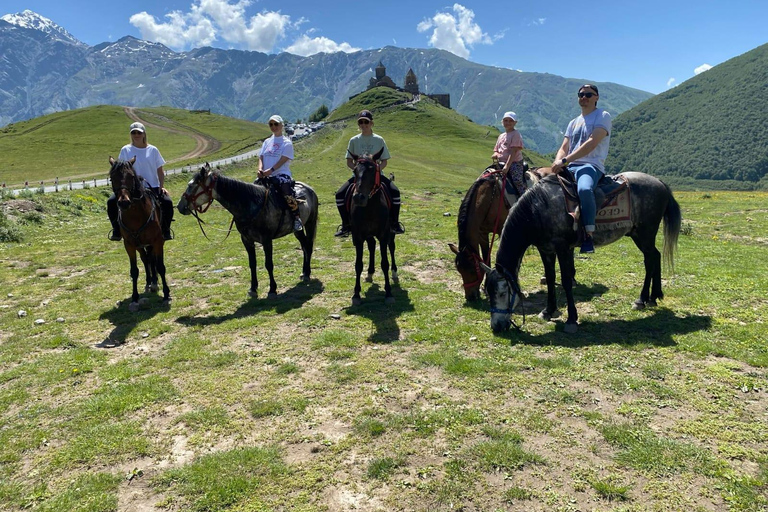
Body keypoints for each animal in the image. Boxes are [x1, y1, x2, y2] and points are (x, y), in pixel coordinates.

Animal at [109, 156, 170, 310]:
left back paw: (154, 283)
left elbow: (160, 266)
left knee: (152, 260)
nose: (124, 202)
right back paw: (150, 282)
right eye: (112, 178)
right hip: (140, 245)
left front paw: (167, 295)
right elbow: (134, 271)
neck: (136, 216)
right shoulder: (129, 245)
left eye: (131, 176)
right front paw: (135, 298)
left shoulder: (158, 241)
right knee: (146, 259)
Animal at [177, 164, 318, 298]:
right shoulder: (246, 240)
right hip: (297, 230)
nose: (179, 206)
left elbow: (268, 264)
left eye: (191, 185)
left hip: (310, 223)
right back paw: (304, 272)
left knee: (308, 246)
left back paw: (307, 274)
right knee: (304, 246)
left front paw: (272, 289)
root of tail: (309, 189)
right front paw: (253, 289)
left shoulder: (266, 240)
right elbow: (252, 263)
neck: (251, 205)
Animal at [346, 149, 396, 308]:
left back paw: (394, 272)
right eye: (355, 170)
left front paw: (389, 293)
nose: (358, 198)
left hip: (391, 233)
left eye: (373, 169)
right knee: (372, 246)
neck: (370, 208)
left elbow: (385, 263)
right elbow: (358, 265)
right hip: (368, 235)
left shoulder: (384, 235)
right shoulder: (358, 236)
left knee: (392, 247)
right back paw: (370, 273)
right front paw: (356, 294)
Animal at [448, 166, 548, 300]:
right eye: (459, 270)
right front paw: (486, 287)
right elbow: (486, 259)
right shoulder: (482, 234)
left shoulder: (504, 231)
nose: (470, 297)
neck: (488, 198)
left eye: (472, 270)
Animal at [484, 171, 680, 332]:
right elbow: (550, 278)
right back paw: (653, 297)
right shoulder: (545, 249)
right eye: (487, 292)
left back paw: (641, 300)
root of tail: (660, 183)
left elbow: (566, 281)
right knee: (655, 256)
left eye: (502, 293)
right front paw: (548, 311)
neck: (538, 209)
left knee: (650, 260)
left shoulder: (563, 248)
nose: (496, 326)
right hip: (640, 235)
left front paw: (571, 319)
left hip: (645, 234)